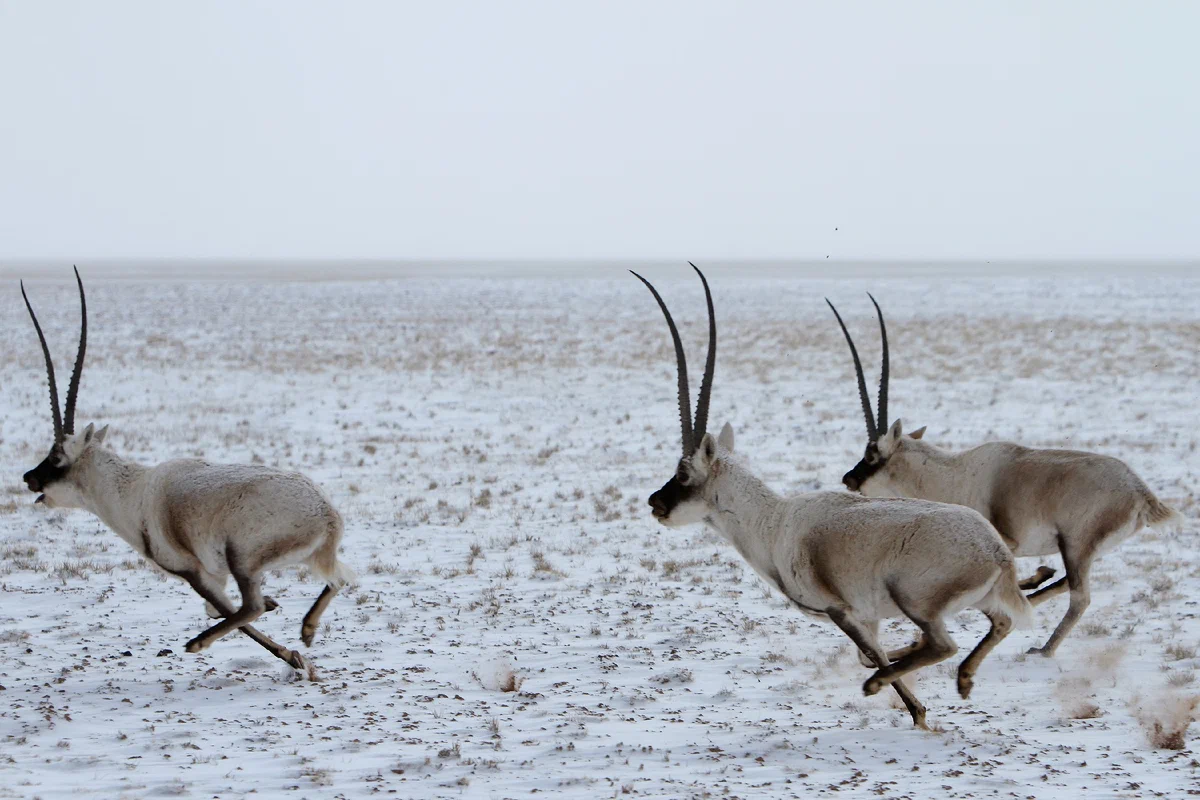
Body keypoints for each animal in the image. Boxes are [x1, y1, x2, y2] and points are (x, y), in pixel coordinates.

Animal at [18, 272, 352, 671]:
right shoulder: (216, 575)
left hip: (241, 557)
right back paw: (307, 630)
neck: (134, 489)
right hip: (294, 560)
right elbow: (217, 608)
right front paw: (284, 625)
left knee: (251, 607)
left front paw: (287, 653)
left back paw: (212, 643)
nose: (29, 478)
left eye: (56, 456)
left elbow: (224, 609)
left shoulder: (195, 571)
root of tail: (327, 516)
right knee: (341, 579)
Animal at [633, 266, 1036, 729]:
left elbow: (871, 657)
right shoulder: (869, 616)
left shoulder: (842, 610)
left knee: (942, 644)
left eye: (683, 473)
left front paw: (913, 710)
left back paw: (887, 684)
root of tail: (996, 553)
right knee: (1000, 624)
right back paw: (965, 678)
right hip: (983, 601)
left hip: (914, 598)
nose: (656, 503)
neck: (775, 522)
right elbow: (869, 654)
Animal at [830, 297, 1176, 662]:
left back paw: (1044, 649)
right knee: (1065, 585)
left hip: (1076, 544)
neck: (952, 473)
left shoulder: (1001, 545)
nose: (849, 479)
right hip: (1082, 552)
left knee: (1079, 597)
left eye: (872, 454)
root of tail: (1142, 493)